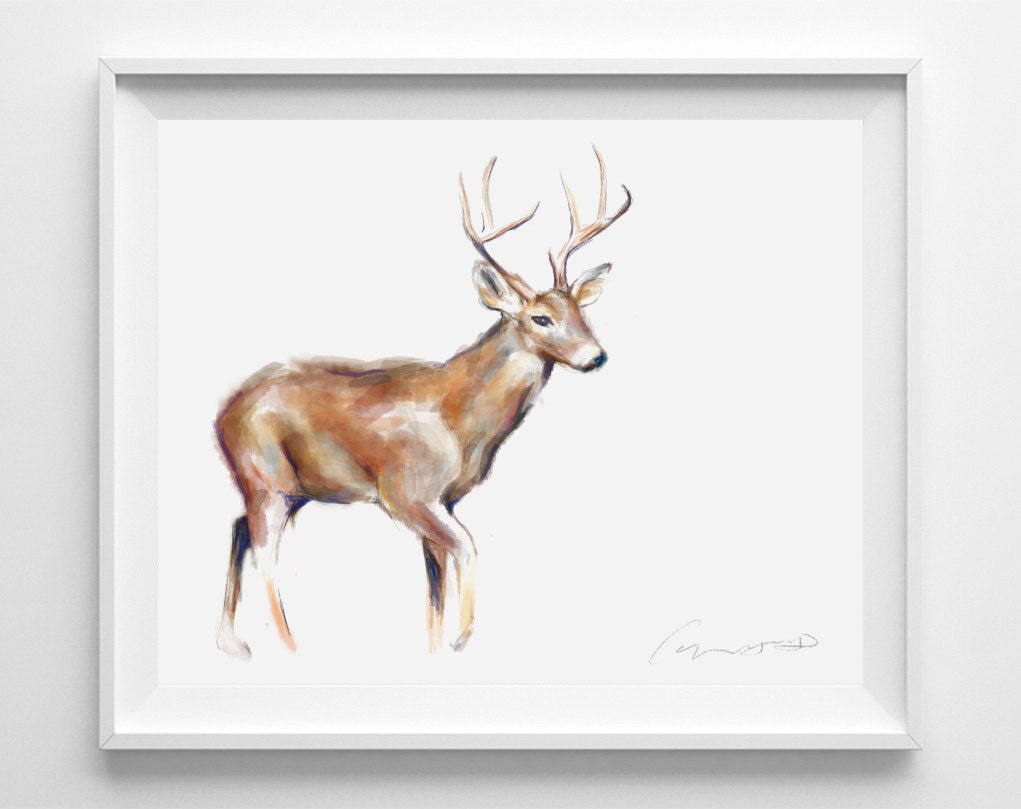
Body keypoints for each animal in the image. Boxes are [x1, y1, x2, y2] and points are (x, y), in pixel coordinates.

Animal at [214, 146, 631, 659]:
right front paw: (462, 639)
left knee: (239, 530)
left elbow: (435, 592)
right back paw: (289, 646)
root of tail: (222, 413)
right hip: (267, 477)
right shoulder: (407, 492)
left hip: (285, 488)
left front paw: (436, 647)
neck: (459, 418)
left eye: (579, 311)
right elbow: (468, 547)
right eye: (541, 318)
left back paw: (234, 643)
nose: (596, 356)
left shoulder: (443, 500)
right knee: (266, 554)